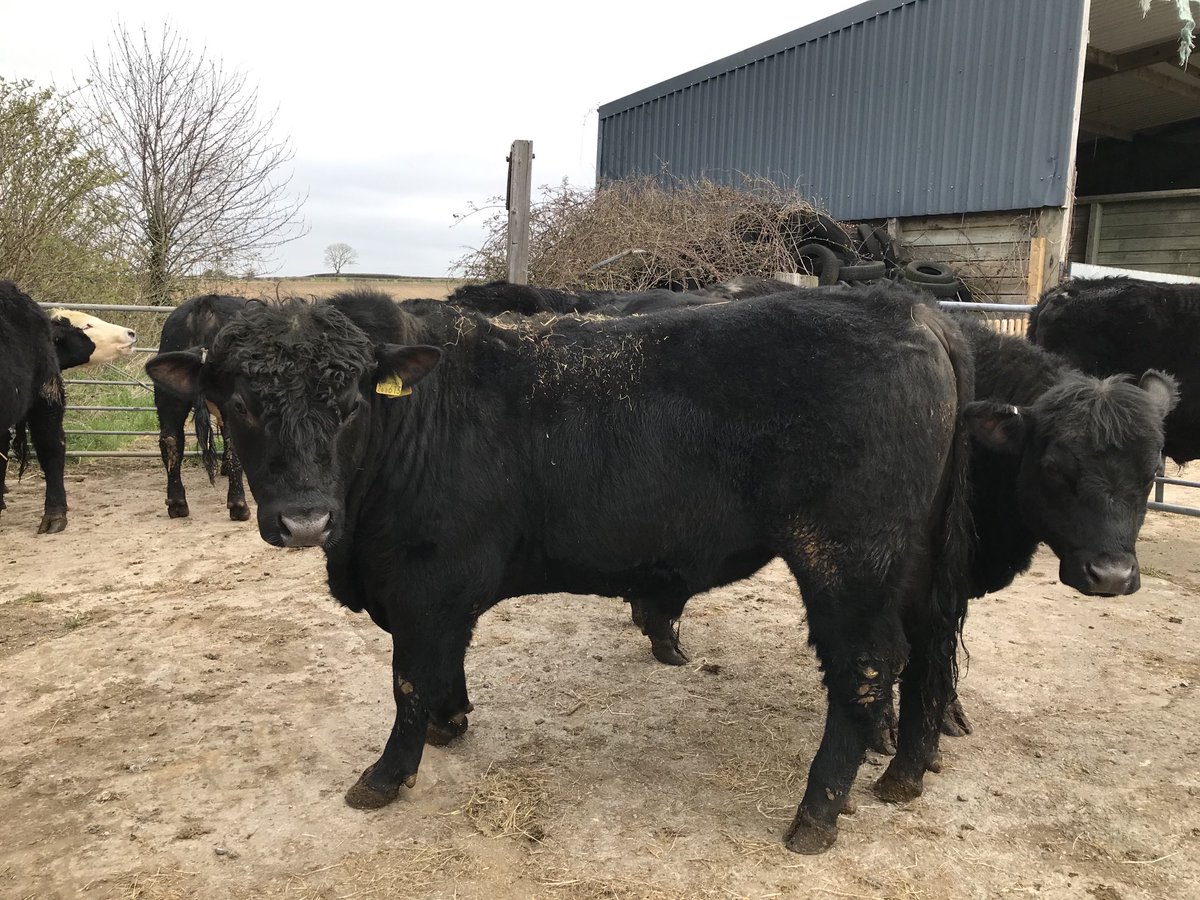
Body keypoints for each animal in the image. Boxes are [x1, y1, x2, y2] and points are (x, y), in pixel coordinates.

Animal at [154, 294, 251, 520]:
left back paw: (177, 503)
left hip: (168, 394)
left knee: (170, 439)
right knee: (233, 443)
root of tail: (205, 303)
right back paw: (239, 505)